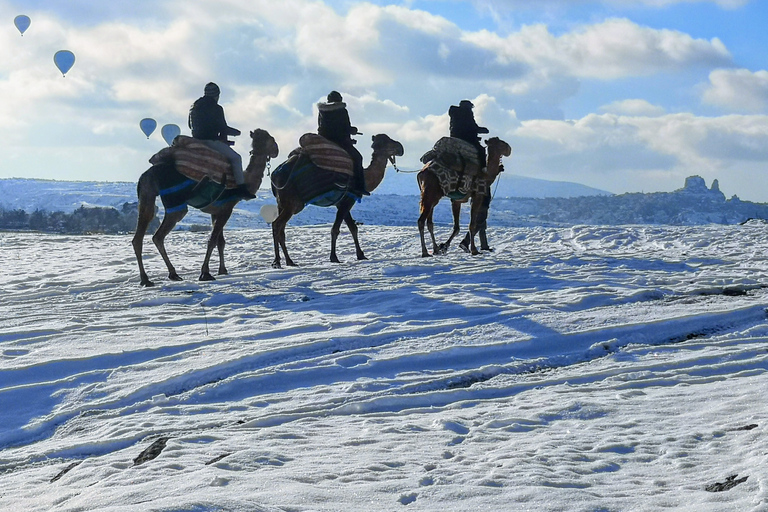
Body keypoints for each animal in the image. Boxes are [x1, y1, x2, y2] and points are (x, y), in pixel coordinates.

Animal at [132, 129, 279, 286]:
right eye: (271, 139)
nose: (276, 150)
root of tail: (148, 173)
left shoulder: (216, 211)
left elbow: (221, 242)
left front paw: (222, 270)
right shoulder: (227, 208)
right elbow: (212, 240)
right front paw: (205, 273)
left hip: (146, 195)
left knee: (140, 235)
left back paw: (148, 279)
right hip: (175, 201)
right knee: (158, 236)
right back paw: (170, 274)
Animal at [270, 134, 404, 268]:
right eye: (386, 142)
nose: (400, 147)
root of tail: (275, 175)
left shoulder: (342, 202)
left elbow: (353, 228)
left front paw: (361, 255)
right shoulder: (348, 199)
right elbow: (336, 229)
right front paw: (334, 257)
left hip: (281, 203)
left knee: (281, 229)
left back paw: (287, 261)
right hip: (292, 203)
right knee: (277, 224)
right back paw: (279, 261)